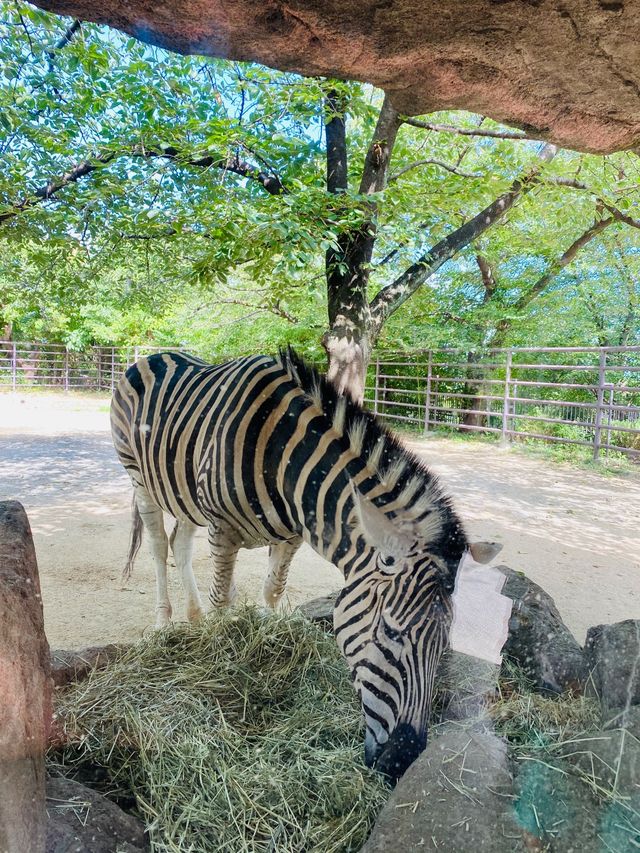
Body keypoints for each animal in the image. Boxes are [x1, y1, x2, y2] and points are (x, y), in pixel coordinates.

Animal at [111, 348, 500, 780]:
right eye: (390, 632)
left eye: (445, 643)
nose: (403, 761)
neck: (285, 461)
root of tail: (156, 354)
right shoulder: (222, 529)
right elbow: (222, 602)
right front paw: (220, 668)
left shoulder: (290, 536)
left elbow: (272, 590)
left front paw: (266, 647)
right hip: (140, 479)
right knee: (159, 547)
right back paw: (164, 622)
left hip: (183, 494)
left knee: (180, 544)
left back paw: (192, 618)